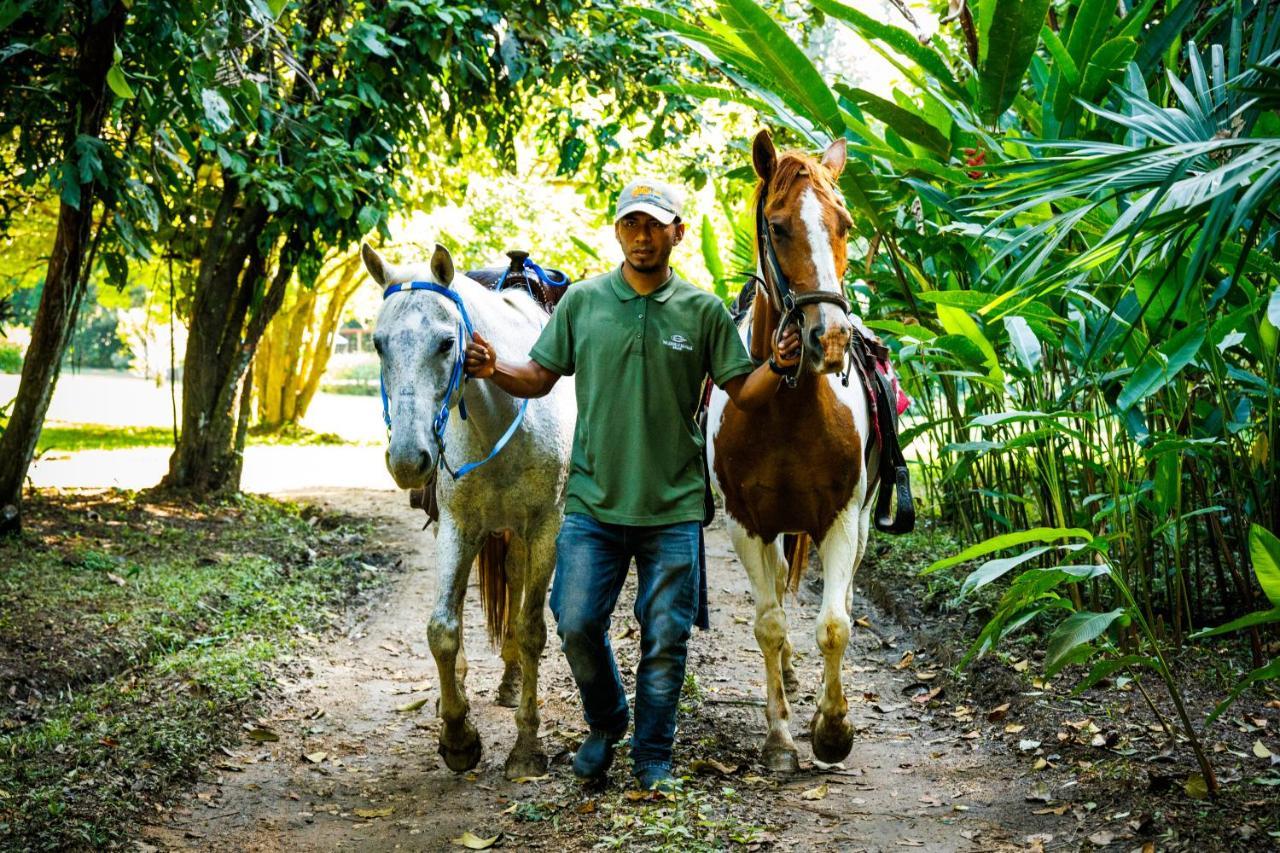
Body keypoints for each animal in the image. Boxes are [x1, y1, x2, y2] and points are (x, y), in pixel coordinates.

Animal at [363, 240, 578, 778]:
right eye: (378, 343)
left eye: (446, 343)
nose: (408, 458)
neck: (502, 415)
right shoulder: (459, 526)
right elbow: (442, 628)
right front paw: (458, 736)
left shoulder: (546, 528)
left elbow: (532, 629)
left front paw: (526, 747)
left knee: (519, 590)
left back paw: (510, 681)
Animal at [706, 126, 875, 768]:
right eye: (778, 227)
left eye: (845, 224)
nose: (831, 339)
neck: (787, 411)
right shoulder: (746, 523)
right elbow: (769, 624)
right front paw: (779, 737)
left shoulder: (841, 518)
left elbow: (835, 623)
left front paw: (833, 728)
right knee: (777, 588)